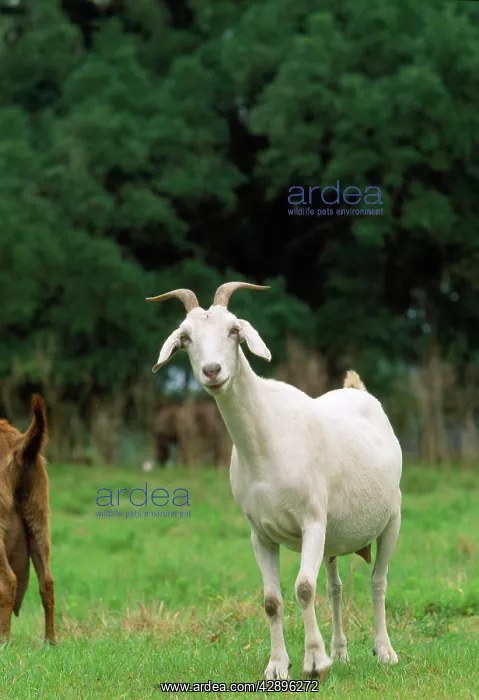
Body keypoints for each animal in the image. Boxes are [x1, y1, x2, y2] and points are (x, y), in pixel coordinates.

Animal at [147, 282, 402, 681]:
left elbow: (303, 588)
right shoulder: (260, 533)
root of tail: (357, 390)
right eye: (186, 338)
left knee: (378, 581)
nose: (212, 370)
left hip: (392, 518)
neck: (267, 440)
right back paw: (341, 651)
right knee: (335, 587)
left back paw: (384, 651)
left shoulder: (312, 521)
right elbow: (272, 600)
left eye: (234, 330)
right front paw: (278, 666)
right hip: (335, 537)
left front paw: (315, 663)